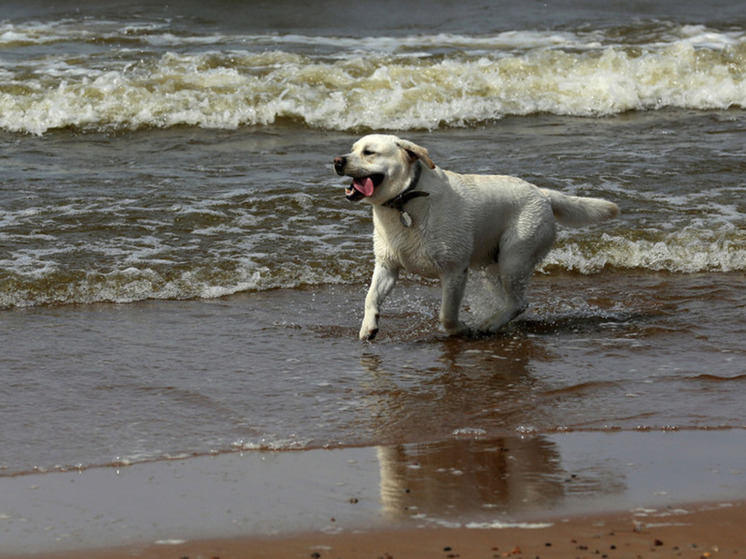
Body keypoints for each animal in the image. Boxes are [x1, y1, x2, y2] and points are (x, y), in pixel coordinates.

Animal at [334, 135, 620, 342]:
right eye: (352, 149)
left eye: (369, 152)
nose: (337, 160)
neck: (406, 201)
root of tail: (543, 193)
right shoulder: (387, 266)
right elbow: (370, 297)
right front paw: (368, 327)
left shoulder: (454, 270)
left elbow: (446, 314)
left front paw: (460, 330)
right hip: (493, 265)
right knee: (510, 301)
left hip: (514, 258)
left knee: (519, 302)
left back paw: (489, 324)